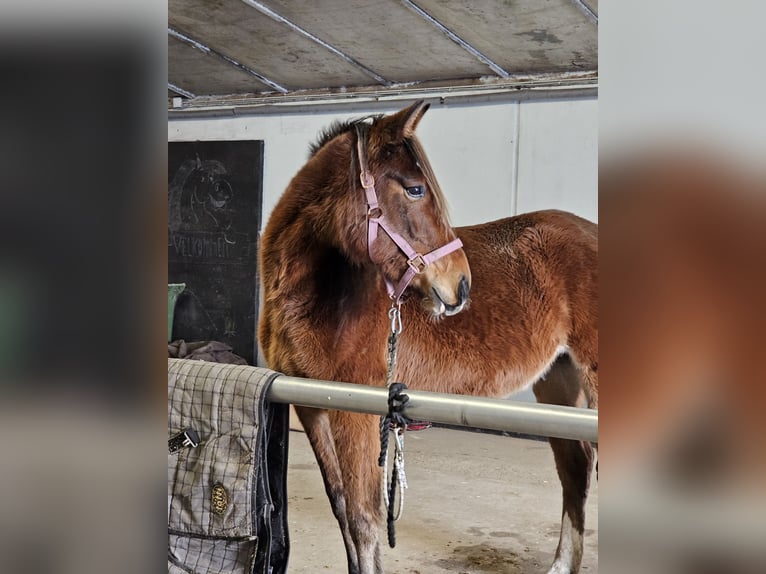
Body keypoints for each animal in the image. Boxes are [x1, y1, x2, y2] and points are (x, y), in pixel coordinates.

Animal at [260, 101, 600, 572]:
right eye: (415, 189)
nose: (461, 285)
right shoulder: (311, 406)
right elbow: (343, 508)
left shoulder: (356, 410)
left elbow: (364, 519)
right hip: (558, 380)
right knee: (575, 466)